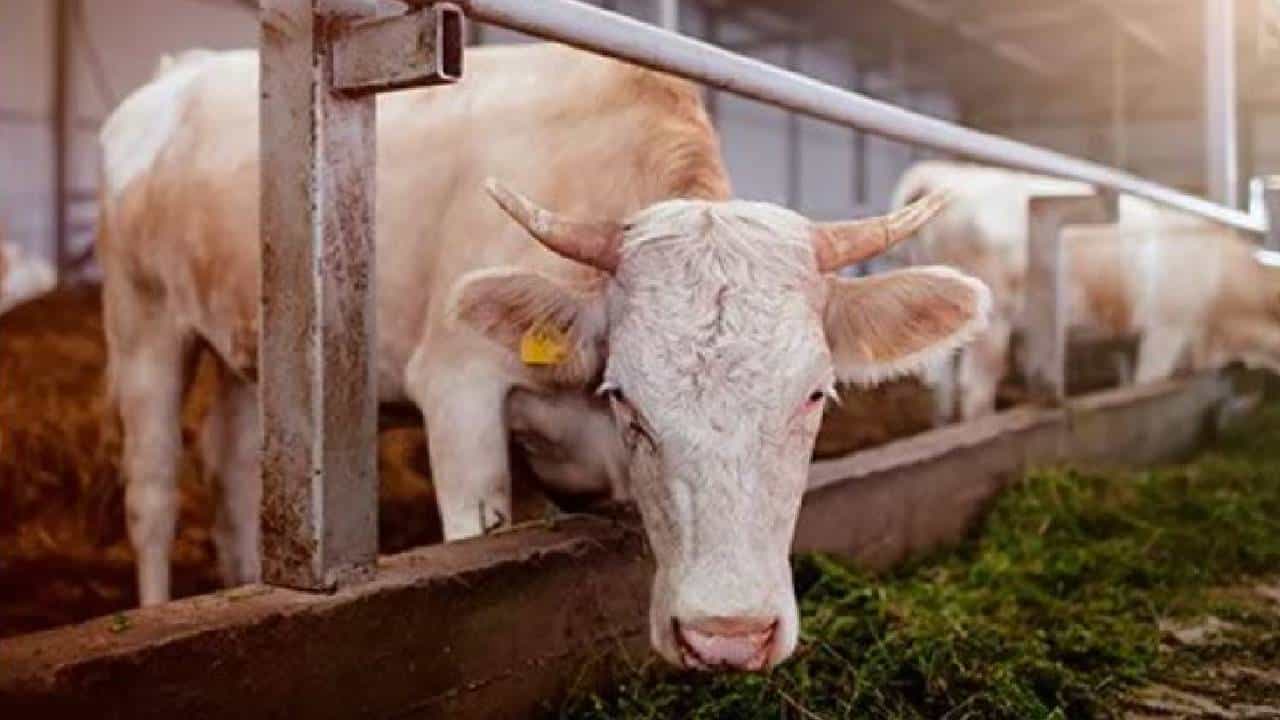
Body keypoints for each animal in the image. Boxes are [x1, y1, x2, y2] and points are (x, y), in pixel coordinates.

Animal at [97, 45, 990, 671]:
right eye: (627, 398)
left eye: (814, 396)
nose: (728, 637)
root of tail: (178, 74)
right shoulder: (456, 388)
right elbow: (474, 531)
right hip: (141, 317)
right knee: (152, 491)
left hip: (243, 346)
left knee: (232, 472)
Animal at [889, 160, 1280, 422]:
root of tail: (940, 174)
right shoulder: (1166, 328)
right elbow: (1148, 383)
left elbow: (1127, 383)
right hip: (994, 319)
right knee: (975, 389)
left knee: (940, 389)